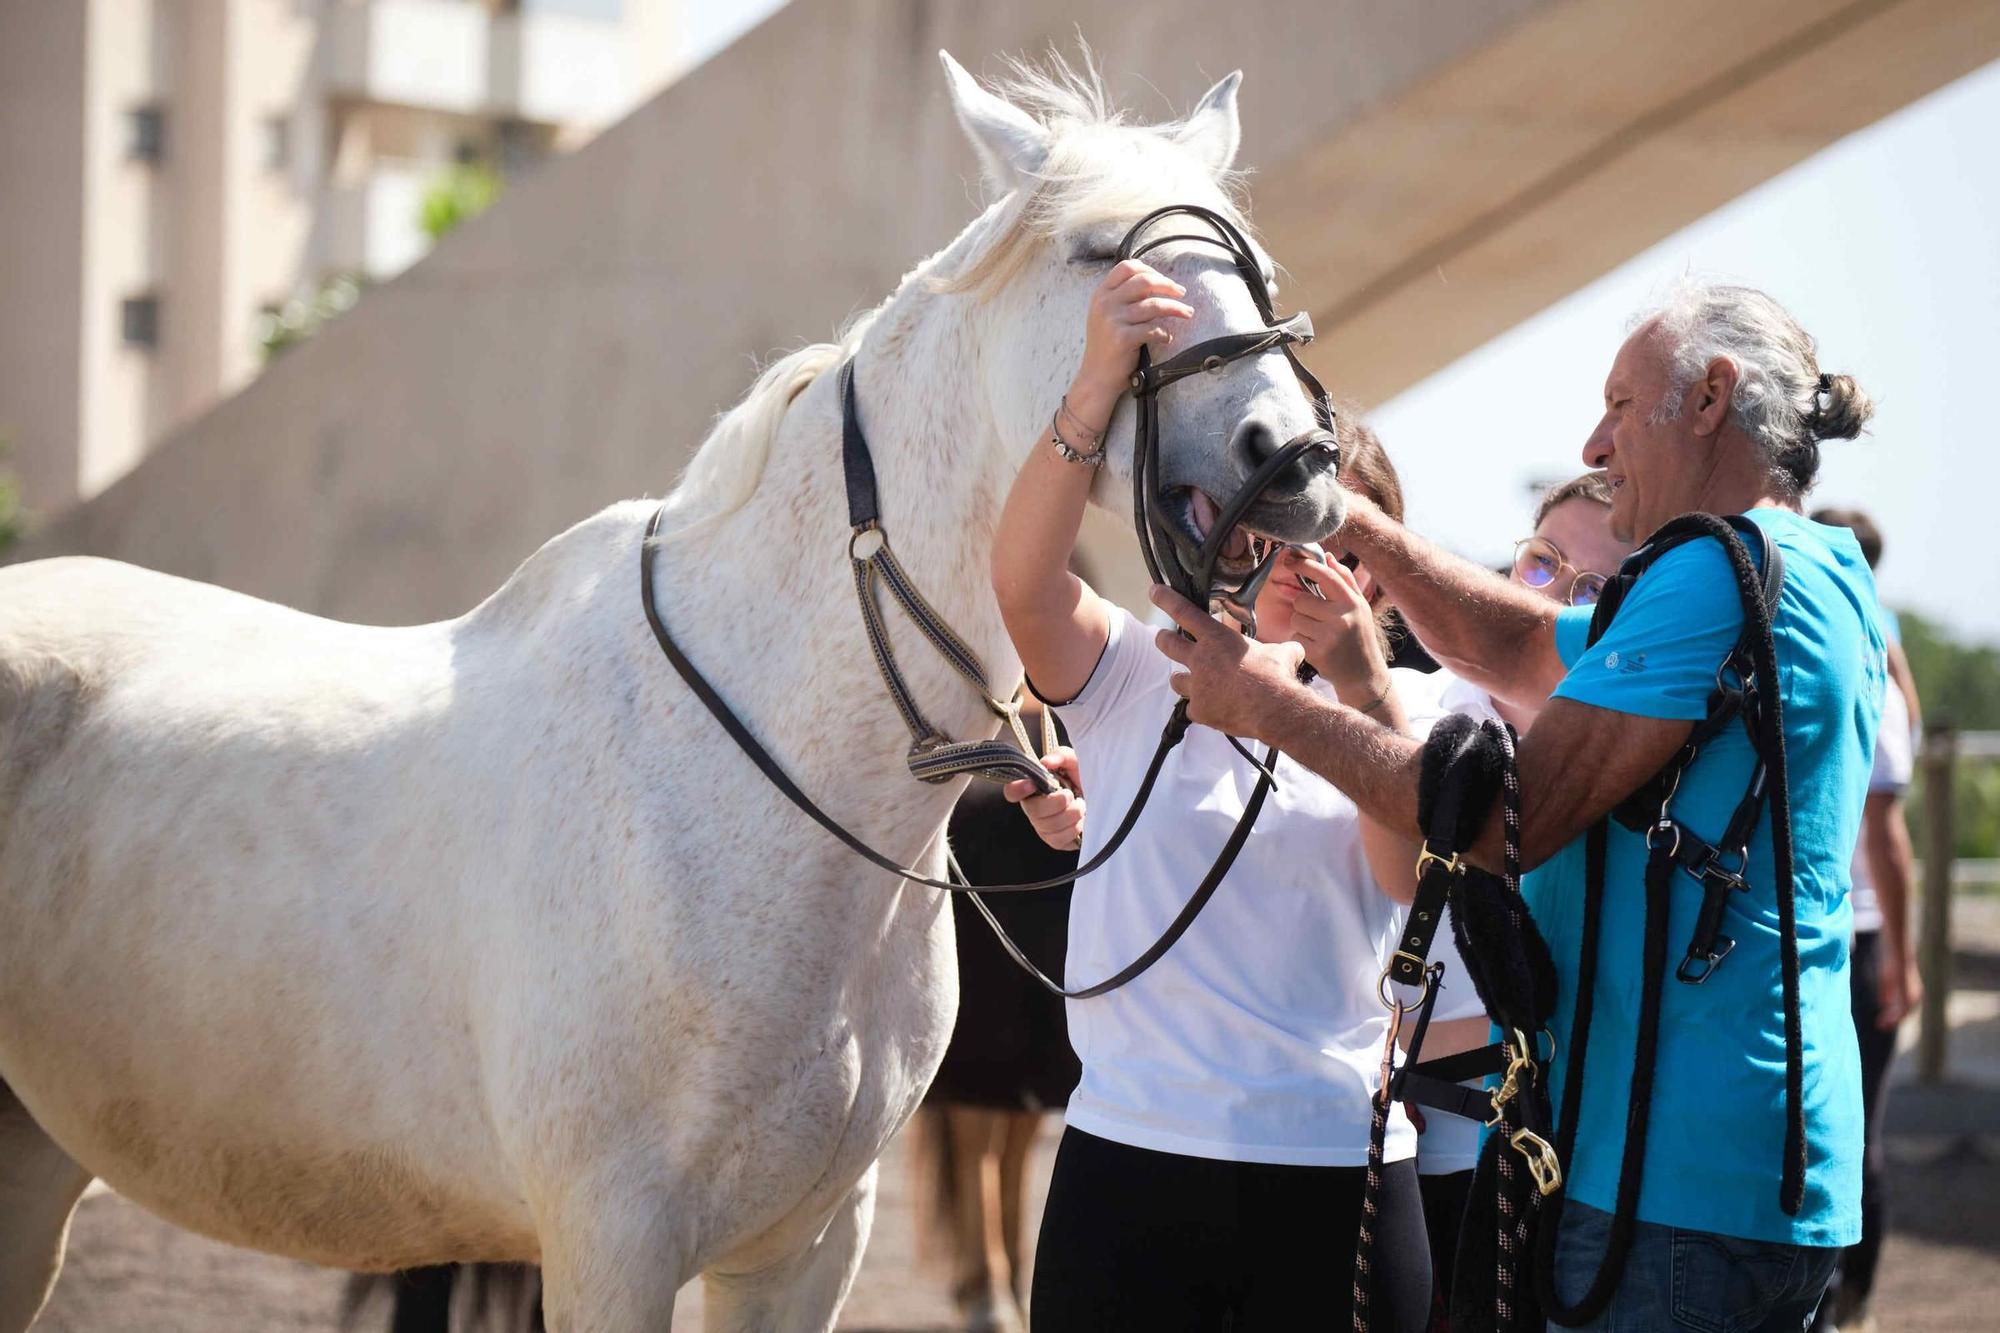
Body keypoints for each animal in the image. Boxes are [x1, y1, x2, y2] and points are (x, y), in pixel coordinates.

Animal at [3, 54, 1344, 1328]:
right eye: (1100, 259)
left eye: (1252, 264)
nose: (1289, 460)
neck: (763, 788)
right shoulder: (608, 1242)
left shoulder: (803, 1249)